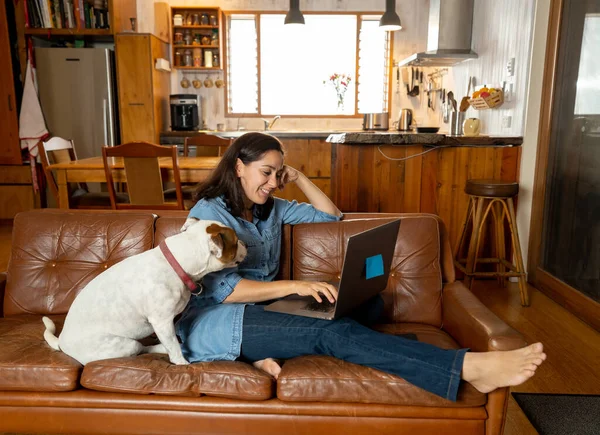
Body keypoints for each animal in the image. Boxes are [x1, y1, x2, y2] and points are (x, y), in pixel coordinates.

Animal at [42, 220, 246, 366]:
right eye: (236, 242)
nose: (246, 242)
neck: (177, 262)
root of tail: (62, 342)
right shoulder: (162, 322)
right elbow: (173, 345)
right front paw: (181, 362)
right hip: (124, 344)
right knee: (142, 348)